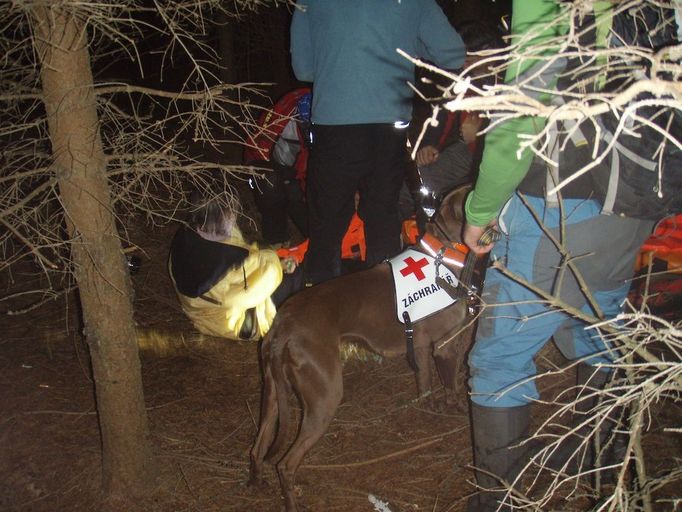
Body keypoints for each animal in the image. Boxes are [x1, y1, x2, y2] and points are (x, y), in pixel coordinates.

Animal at [248, 184, 478, 512]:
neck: (441, 257)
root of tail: (283, 328)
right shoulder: (442, 347)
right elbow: (449, 387)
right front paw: (452, 412)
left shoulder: (426, 348)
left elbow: (428, 385)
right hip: (325, 395)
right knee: (285, 464)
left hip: (271, 392)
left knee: (257, 448)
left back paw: (256, 483)